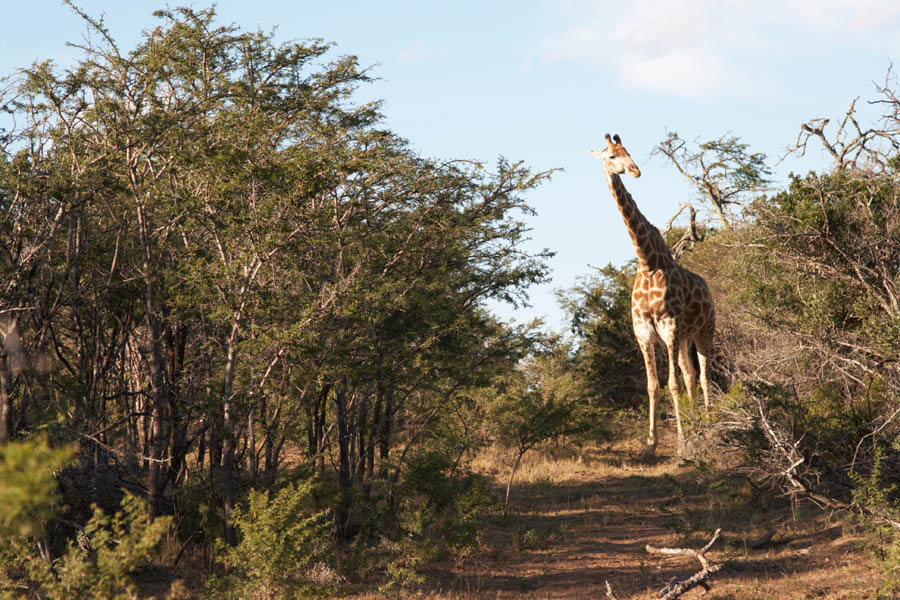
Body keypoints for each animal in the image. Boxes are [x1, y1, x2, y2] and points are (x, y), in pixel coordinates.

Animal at [592, 135, 716, 454]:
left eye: (628, 151)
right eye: (611, 155)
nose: (635, 171)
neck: (647, 262)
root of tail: (707, 288)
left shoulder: (669, 326)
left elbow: (671, 383)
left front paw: (682, 443)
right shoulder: (643, 331)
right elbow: (652, 384)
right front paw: (651, 442)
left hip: (704, 331)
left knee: (704, 375)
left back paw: (708, 424)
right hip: (684, 337)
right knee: (690, 374)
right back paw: (697, 424)